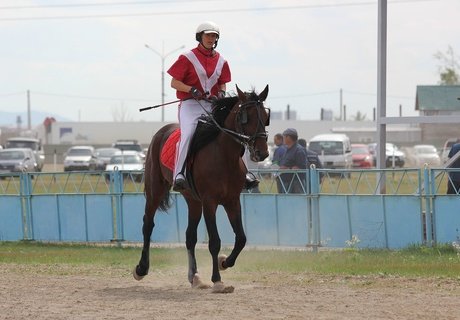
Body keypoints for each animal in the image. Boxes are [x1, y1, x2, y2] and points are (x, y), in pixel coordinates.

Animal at [132, 84, 270, 292]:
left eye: (265, 115)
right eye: (247, 116)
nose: (262, 153)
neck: (224, 156)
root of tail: (161, 131)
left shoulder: (232, 201)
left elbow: (241, 238)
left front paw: (224, 262)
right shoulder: (209, 202)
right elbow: (214, 241)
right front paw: (217, 279)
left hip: (193, 200)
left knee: (190, 236)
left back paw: (194, 277)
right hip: (155, 190)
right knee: (148, 225)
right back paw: (141, 269)